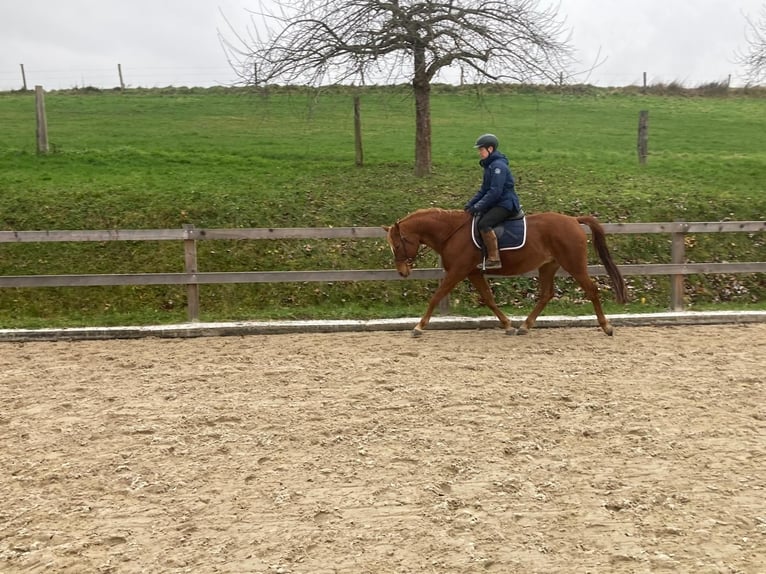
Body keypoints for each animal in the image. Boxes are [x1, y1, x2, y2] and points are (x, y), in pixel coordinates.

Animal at [384, 210, 632, 338]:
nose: (402, 272)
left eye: (397, 245)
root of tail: (573, 220)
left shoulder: (457, 271)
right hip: (548, 266)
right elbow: (489, 299)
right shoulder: (473, 272)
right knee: (546, 294)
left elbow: (436, 297)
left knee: (591, 289)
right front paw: (508, 324)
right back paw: (524, 326)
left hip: (574, 264)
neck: (451, 233)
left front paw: (418, 327)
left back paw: (607, 327)